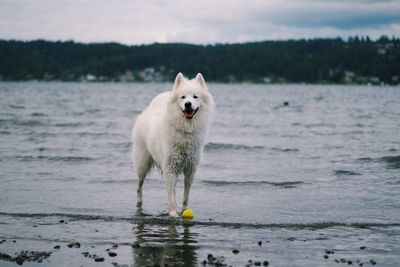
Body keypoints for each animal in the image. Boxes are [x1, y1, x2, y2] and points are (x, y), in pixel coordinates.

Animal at [132, 73, 214, 218]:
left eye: (195, 96)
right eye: (183, 97)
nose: (188, 104)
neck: (186, 131)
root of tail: (148, 111)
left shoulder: (190, 169)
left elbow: (186, 194)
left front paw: (184, 209)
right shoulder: (170, 168)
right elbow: (171, 195)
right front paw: (173, 214)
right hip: (142, 164)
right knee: (139, 186)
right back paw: (139, 204)